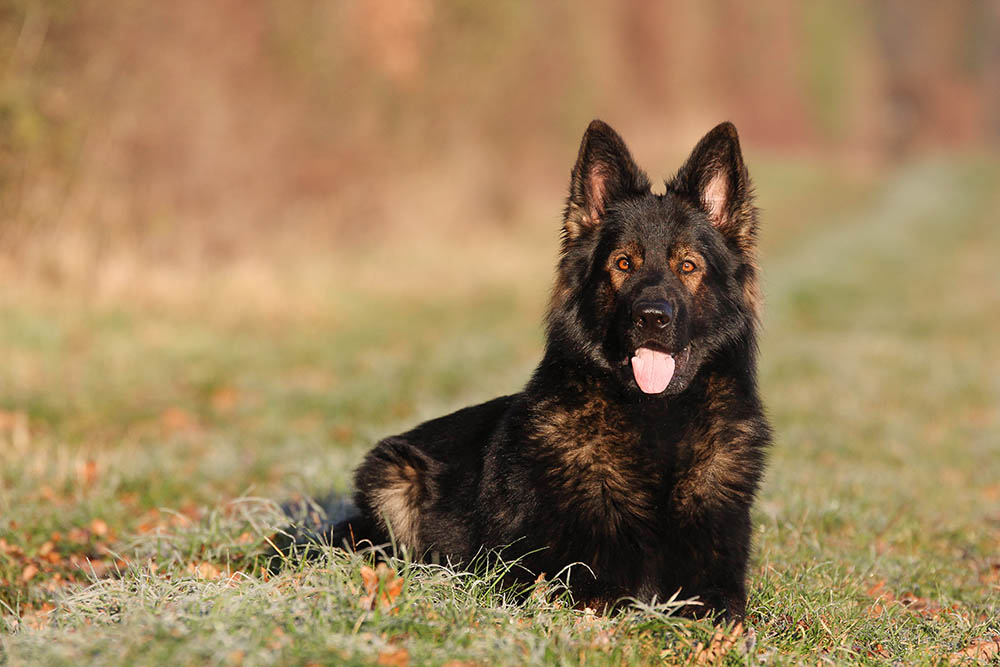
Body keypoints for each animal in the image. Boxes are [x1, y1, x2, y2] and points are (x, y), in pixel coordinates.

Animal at [282, 118, 772, 620]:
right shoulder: (555, 580)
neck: (656, 422)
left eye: (688, 266)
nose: (652, 317)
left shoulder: (718, 584)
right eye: (623, 263)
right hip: (393, 477)